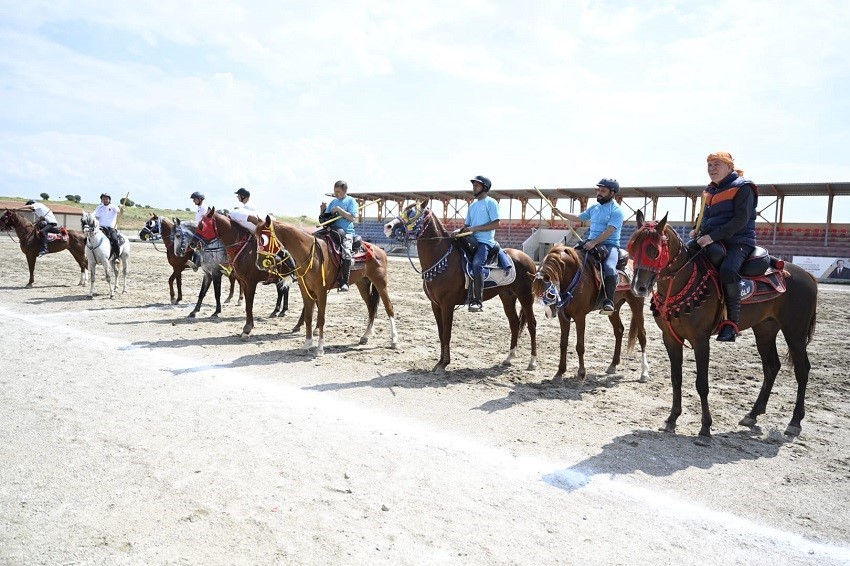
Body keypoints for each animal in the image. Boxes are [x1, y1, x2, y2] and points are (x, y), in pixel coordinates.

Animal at [253, 216, 400, 356]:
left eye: (263, 239)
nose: (259, 263)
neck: (311, 255)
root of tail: (379, 251)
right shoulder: (305, 290)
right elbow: (308, 317)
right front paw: (307, 344)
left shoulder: (321, 290)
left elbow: (321, 318)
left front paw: (319, 348)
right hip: (362, 284)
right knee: (371, 308)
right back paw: (365, 336)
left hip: (380, 282)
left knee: (389, 308)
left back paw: (394, 340)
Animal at [384, 202, 536, 374]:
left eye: (412, 213)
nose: (388, 227)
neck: (442, 258)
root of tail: (527, 259)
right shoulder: (435, 305)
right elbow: (440, 334)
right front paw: (439, 362)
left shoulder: (447, 304)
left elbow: (447, 334)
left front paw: (444, 364)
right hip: (507, 296)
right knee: (515, 323)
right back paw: (509, 357)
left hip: (526, 297)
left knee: (532, 325)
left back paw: (532, 362)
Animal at [528, 245, 644, 384]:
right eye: (535, 293)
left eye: (550, 294)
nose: (549, 314)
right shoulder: (563, 317)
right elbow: (563, 344)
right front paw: (559, 372)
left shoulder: (580, 316)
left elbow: (580, 346)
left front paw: (581, 374)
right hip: (614, 309)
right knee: (619, 330)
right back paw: (613, 365)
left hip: (637, 305)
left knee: (642, 335)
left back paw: (644, 374)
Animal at [628, 211, 816, 446]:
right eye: (632, 248)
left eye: (653, 250)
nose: (639, 287)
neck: (685, 279)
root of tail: (807, 275)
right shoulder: (670, 338)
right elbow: (676, 378)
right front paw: (671, 419)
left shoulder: (700, 340)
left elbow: (702, 383)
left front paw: (705, 429)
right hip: (765, 330)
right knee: (772, 367)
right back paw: (752, 414)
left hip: (795, 333)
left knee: (802, 370)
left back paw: (794, 422)